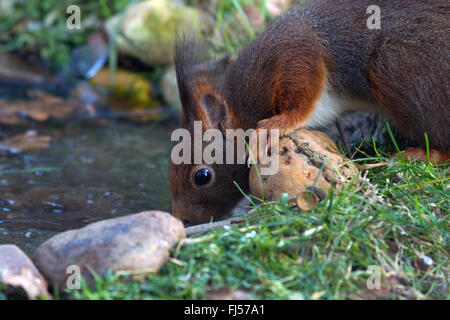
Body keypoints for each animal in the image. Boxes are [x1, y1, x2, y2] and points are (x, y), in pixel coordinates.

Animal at [170, 0, 450, 225]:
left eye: (202, 176)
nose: (181, 219)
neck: (241, 108)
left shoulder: (292, 50)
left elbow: (304, 86)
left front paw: (276, 126)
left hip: (397, 65)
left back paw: (424, 154)